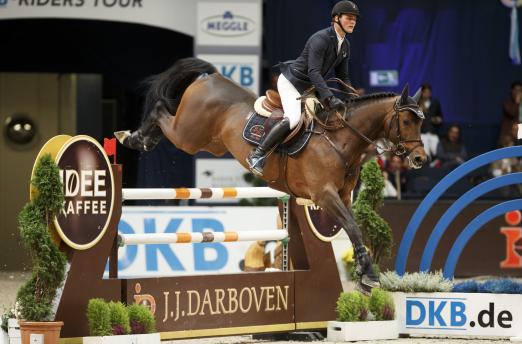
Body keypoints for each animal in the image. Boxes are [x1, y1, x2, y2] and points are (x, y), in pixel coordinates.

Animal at [118, 57, 426, 292]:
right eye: (406, 121)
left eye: (420, 121)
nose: (420, 158)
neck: (339, 141)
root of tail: (210, 77)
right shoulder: (324, 195)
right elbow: (351, 226)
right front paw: (369, 276)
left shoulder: (342, 196)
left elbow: (354, 229)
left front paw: (365, 275)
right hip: (189, 135)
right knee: (161, 110)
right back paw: (133, 138)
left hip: (210, 143)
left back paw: (140, 138)